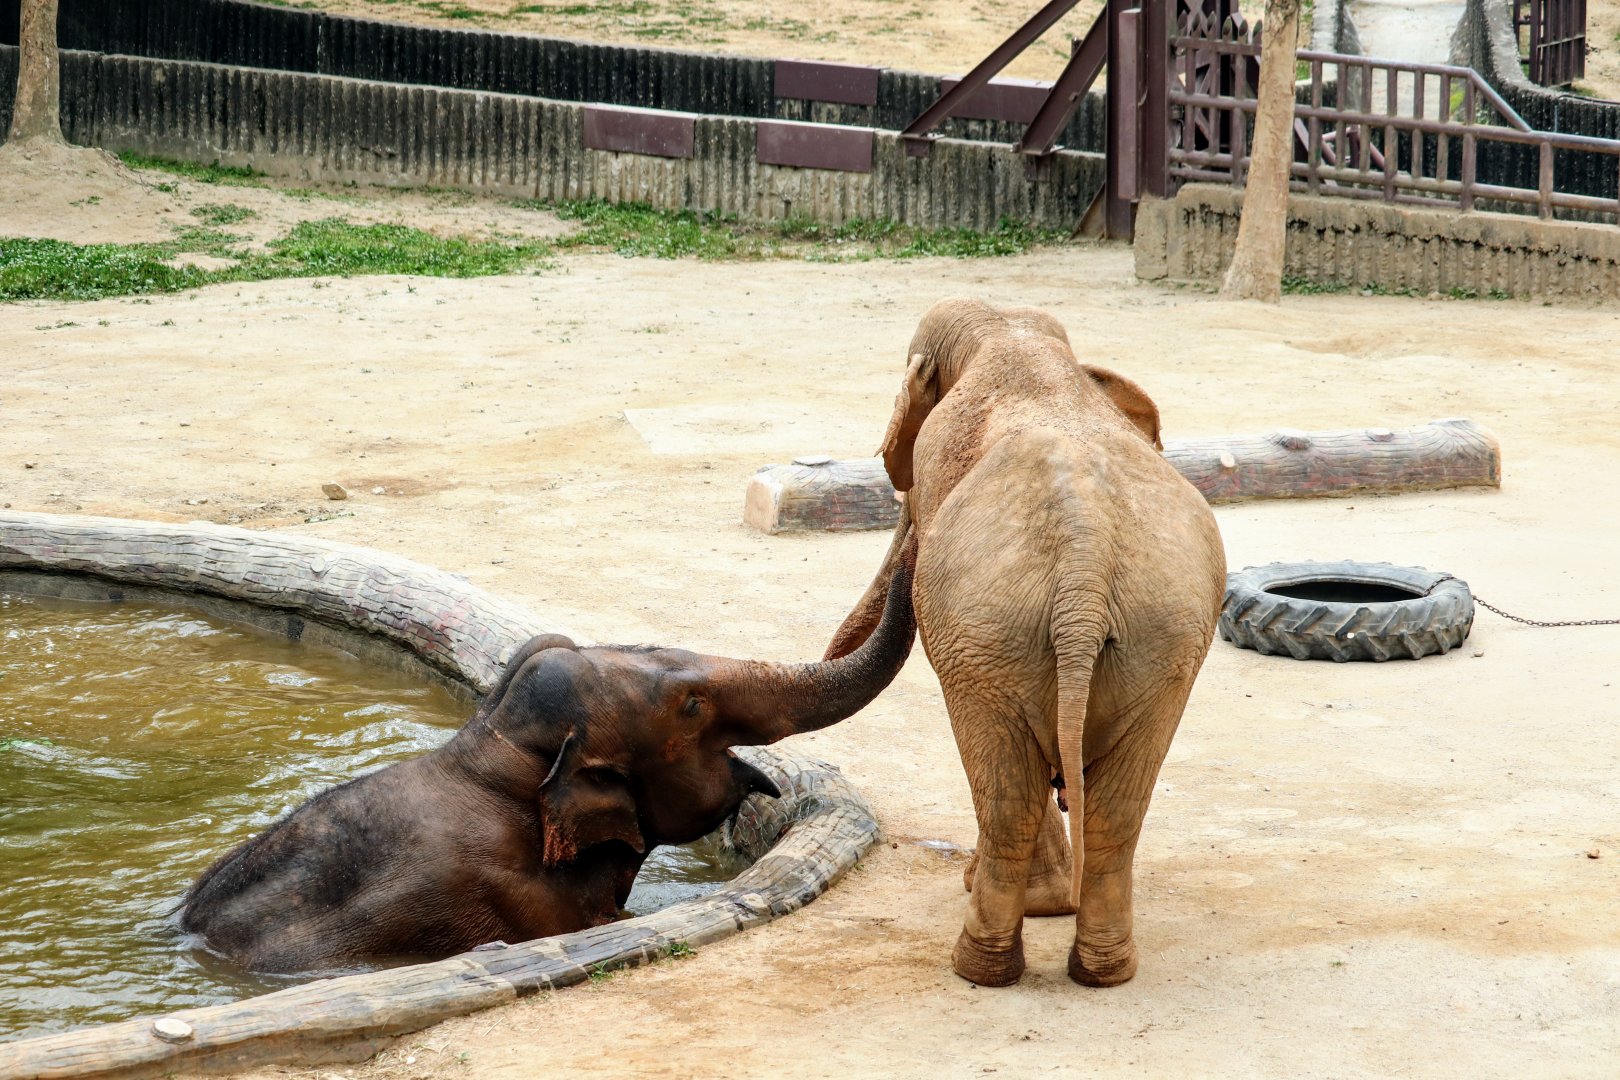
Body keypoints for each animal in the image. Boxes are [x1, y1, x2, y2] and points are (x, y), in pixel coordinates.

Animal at [827, 298, 1225, 988]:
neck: (1007, 332)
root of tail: (1085, 574)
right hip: (1162, 641)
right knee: (1117, 811)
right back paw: (1101, 970)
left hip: (992, 636)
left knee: (1006, 790)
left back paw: (979, 969)